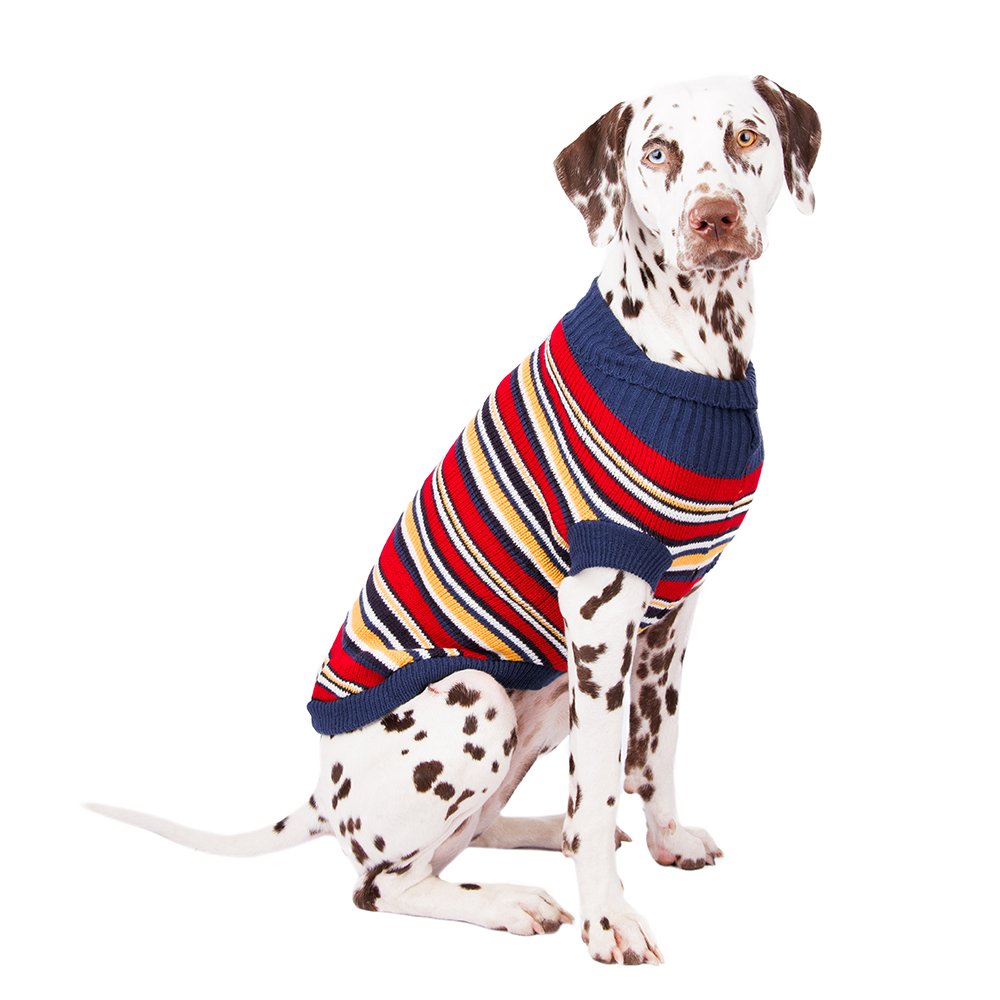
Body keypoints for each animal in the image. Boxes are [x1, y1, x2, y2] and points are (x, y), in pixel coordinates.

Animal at [88, 75, 820, 966]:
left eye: (746, 136)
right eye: (656, 152)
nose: (713, 216)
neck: (690, 352)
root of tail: (321, 795)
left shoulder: (669, 621)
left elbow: (657, 749)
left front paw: (666, 839)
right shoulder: (601, 615)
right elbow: (602, 786)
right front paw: (609, 919)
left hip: (544, 699)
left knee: (484, 831)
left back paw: (544, 838)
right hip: (476, 698)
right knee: (385, 885)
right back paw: (509, 900)